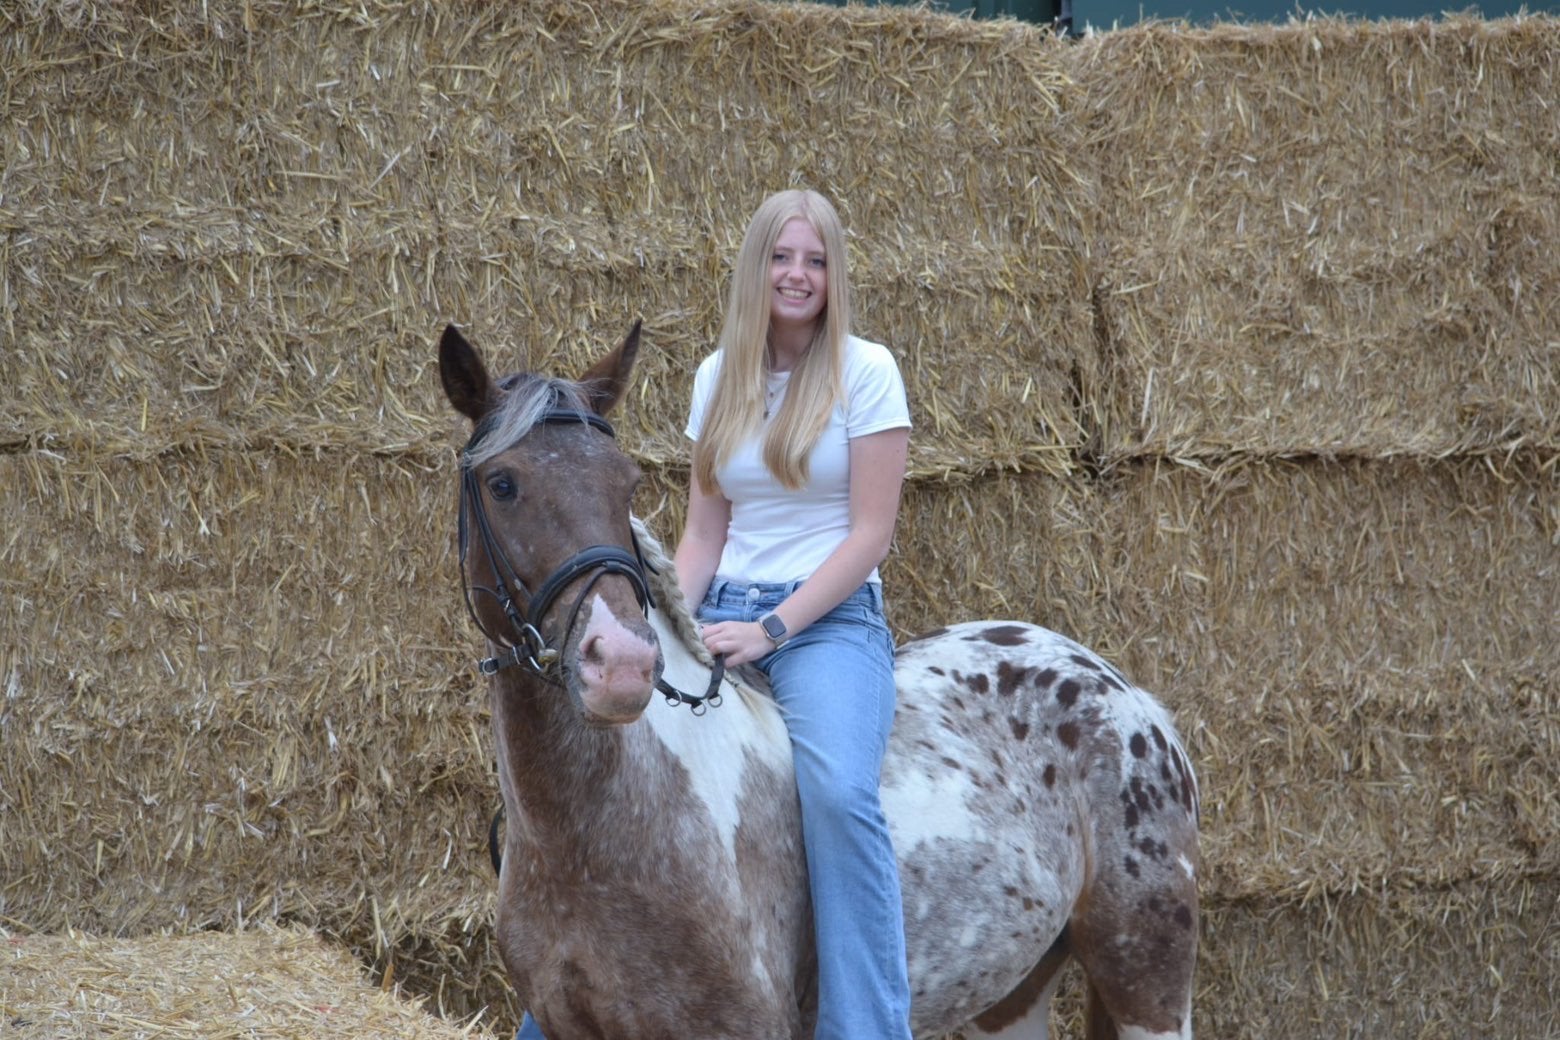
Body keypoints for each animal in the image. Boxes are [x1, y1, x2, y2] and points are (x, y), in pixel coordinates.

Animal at [438, 322, 1200, 1040]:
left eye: (627, 485)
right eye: (503, 483)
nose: (622, 664)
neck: (597, 834)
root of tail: (1123, 692)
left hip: (1149, 978)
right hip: (1013, 992)